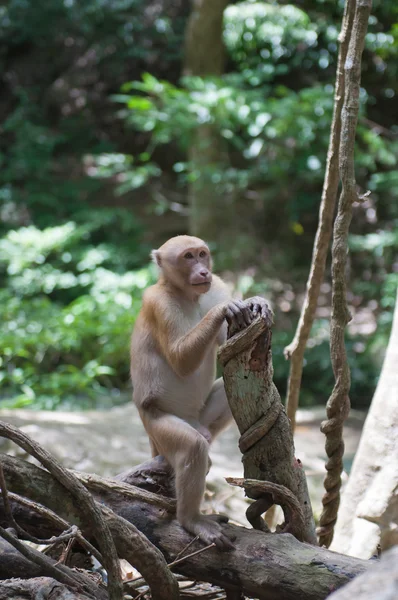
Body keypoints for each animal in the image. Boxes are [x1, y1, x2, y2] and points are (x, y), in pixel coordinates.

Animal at [131, 233, 270, 548]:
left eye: (202, 254)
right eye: (187, 257)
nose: (203, 271)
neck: (186, 294)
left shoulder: (214, 287)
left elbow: (228, 342)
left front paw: (255, 301)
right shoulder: (158, 303)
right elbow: (179, 358)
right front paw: (224, 310)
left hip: (202, 418)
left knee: (228, 398)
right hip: (156, 424)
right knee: (191, 446)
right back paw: (191, 520)